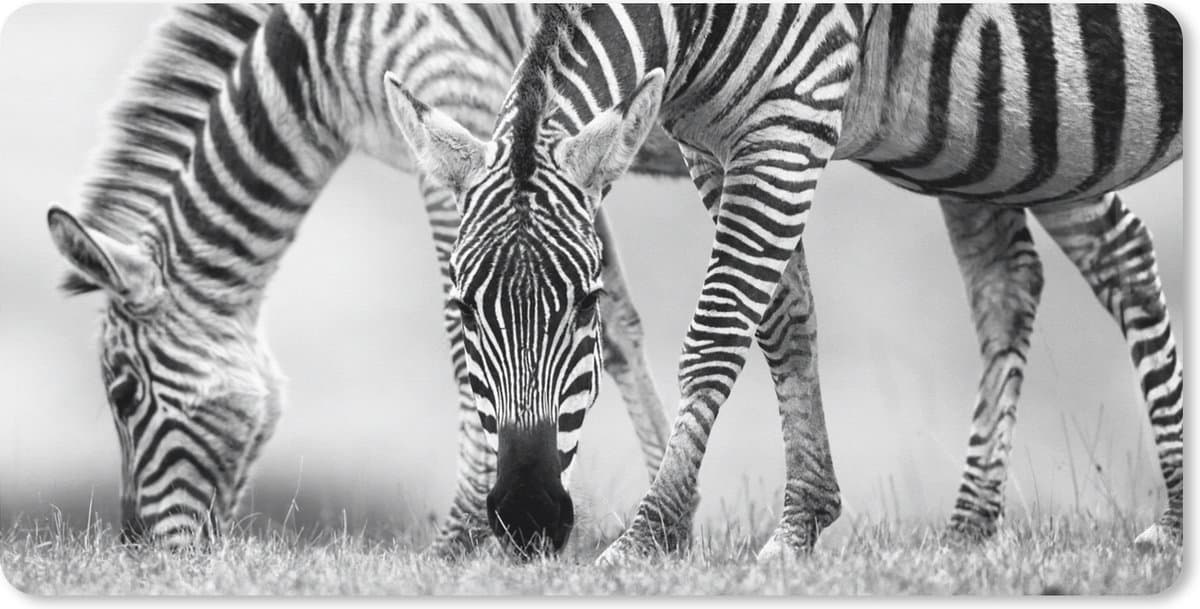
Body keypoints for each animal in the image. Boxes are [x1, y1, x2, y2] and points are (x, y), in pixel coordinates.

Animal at [46, 3, 688, 552]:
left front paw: (457, 545)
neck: (314, 59)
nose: (137, 551)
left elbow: (468, 336)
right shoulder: (548, 163)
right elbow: (614, 330)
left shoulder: (468, 110)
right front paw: (669, 526)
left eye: (125, 395)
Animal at [386, 3, 1183, 560]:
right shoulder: (717, 144)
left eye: (587, 303)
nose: (526, 517)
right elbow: (782, 322)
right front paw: (801, 524)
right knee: (1046, 272)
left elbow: (717, 333)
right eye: (462, 308)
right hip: (1017, 135)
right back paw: (976, 529)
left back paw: (1171, 524)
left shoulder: (787, 123)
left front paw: (648, 536)